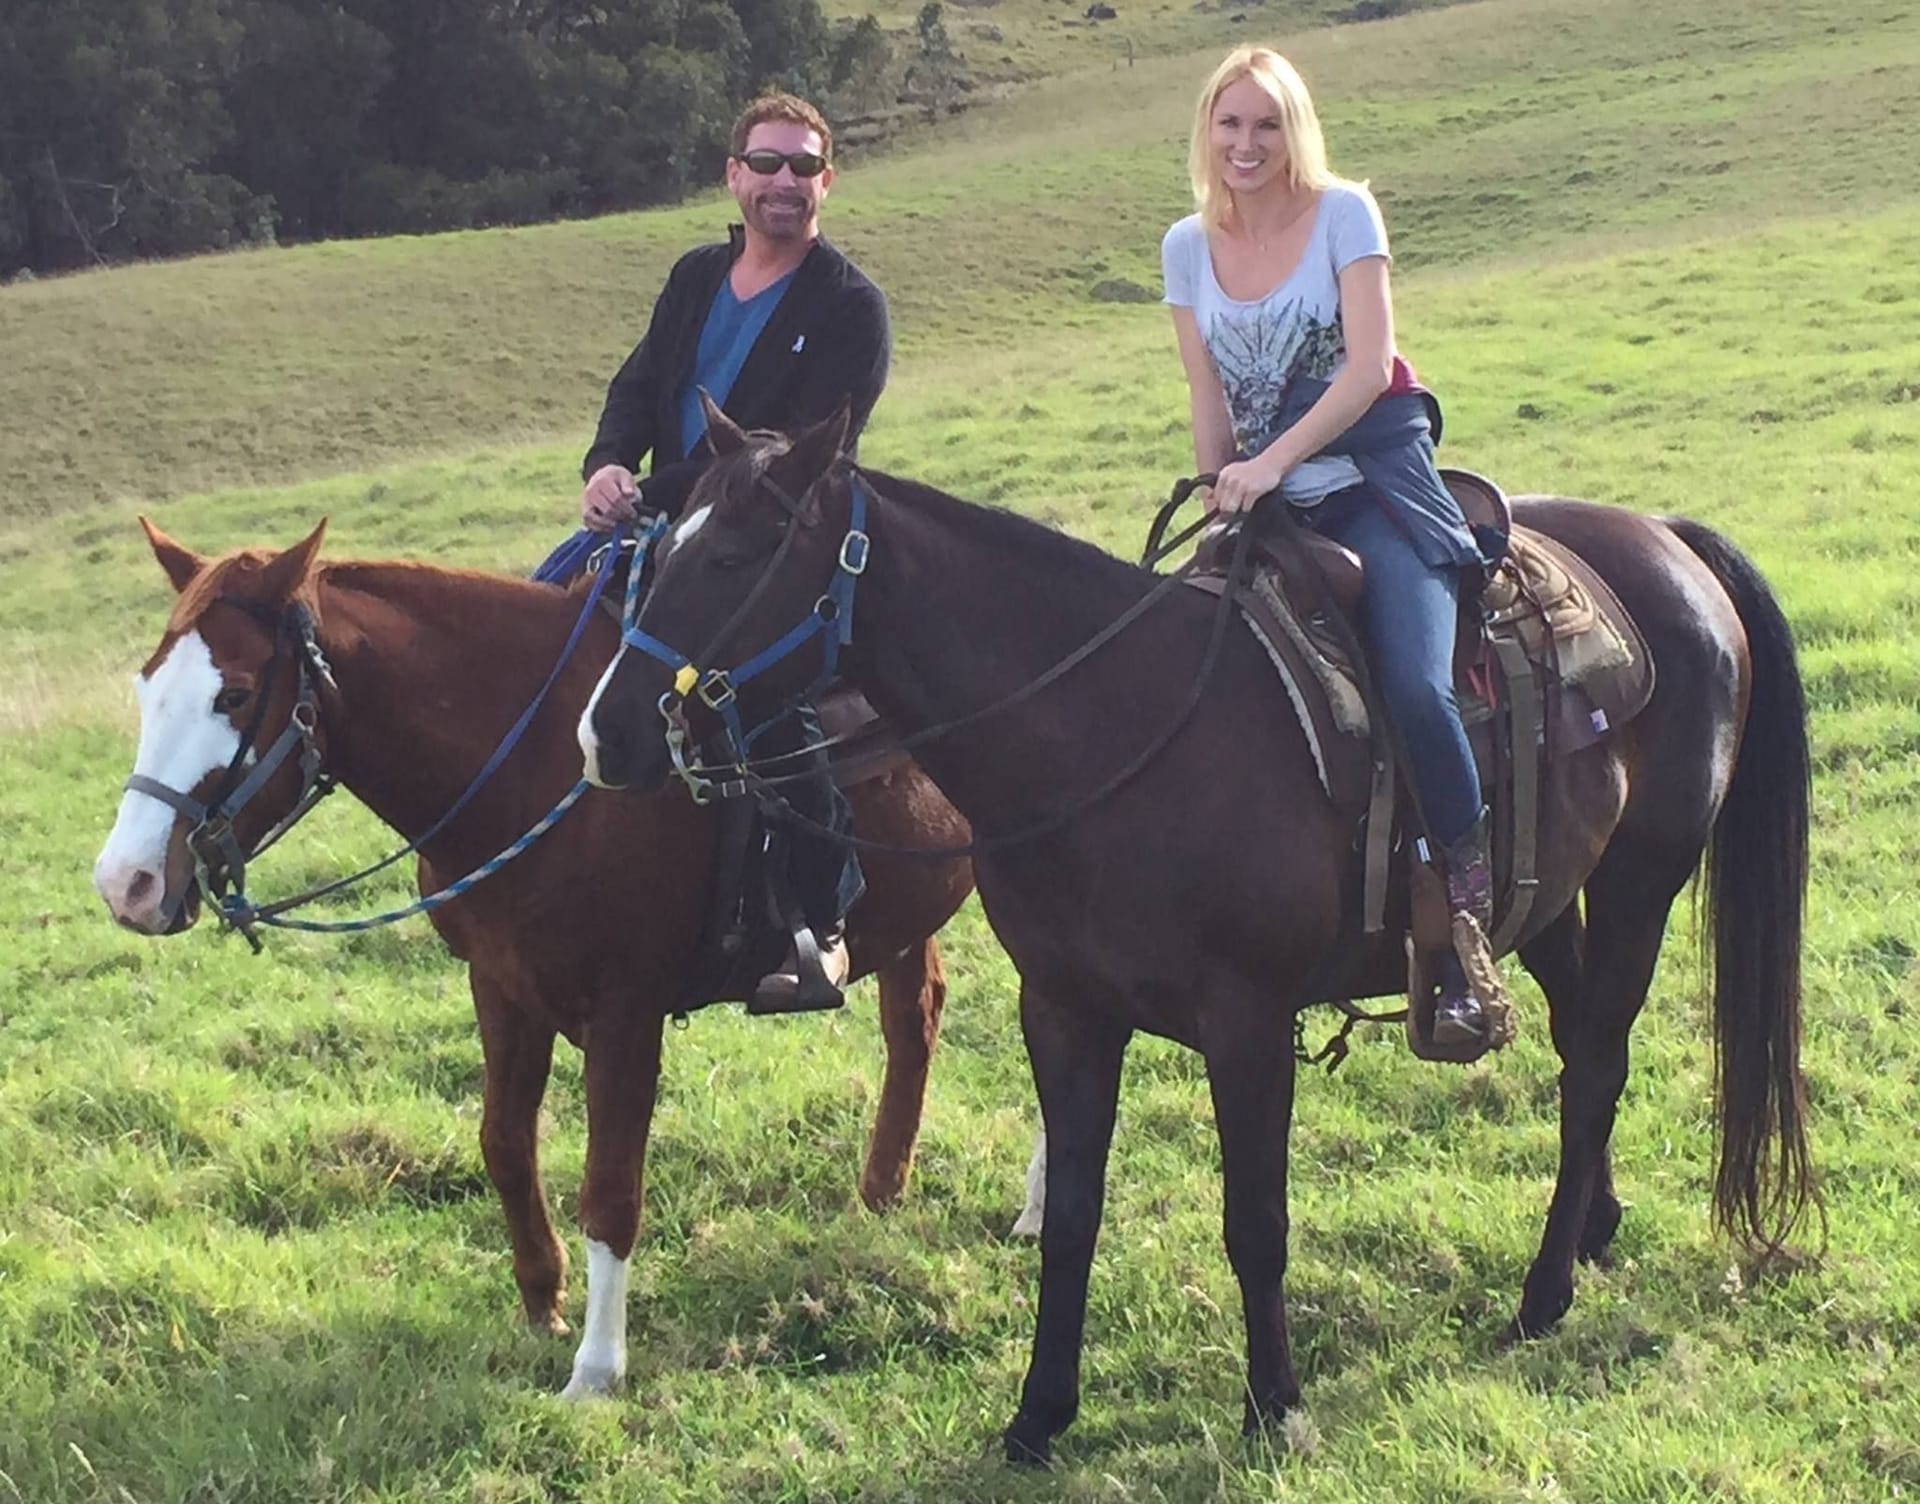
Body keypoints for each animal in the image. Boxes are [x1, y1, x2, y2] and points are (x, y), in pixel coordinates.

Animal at [91, 518, 975, 1398]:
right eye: (147, 686)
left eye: (235, 694)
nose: (126, 884)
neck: (538, 762)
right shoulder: (501, 984)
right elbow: (506, 1144)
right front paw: (540, 1304)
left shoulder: (625, 1011)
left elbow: (609, 1189)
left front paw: (597, 1369)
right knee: (914, 1022)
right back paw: (880, 1194)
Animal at [579, 405, 1812, 1467]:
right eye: (663, 547)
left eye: (735, 558)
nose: (606, 733)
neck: (1110, 731)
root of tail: (1665, 539)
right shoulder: (1064, 1011)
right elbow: (1072, 1217)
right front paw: (1039, 1417)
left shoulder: (1248, 1023)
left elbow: (1255, 1219)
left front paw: (1277, 1409)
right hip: (1544, 897)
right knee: (1574, 1050)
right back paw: (1591, 1225)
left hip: (1646, 877)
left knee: (1597, 1057)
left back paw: (1544, 1295)